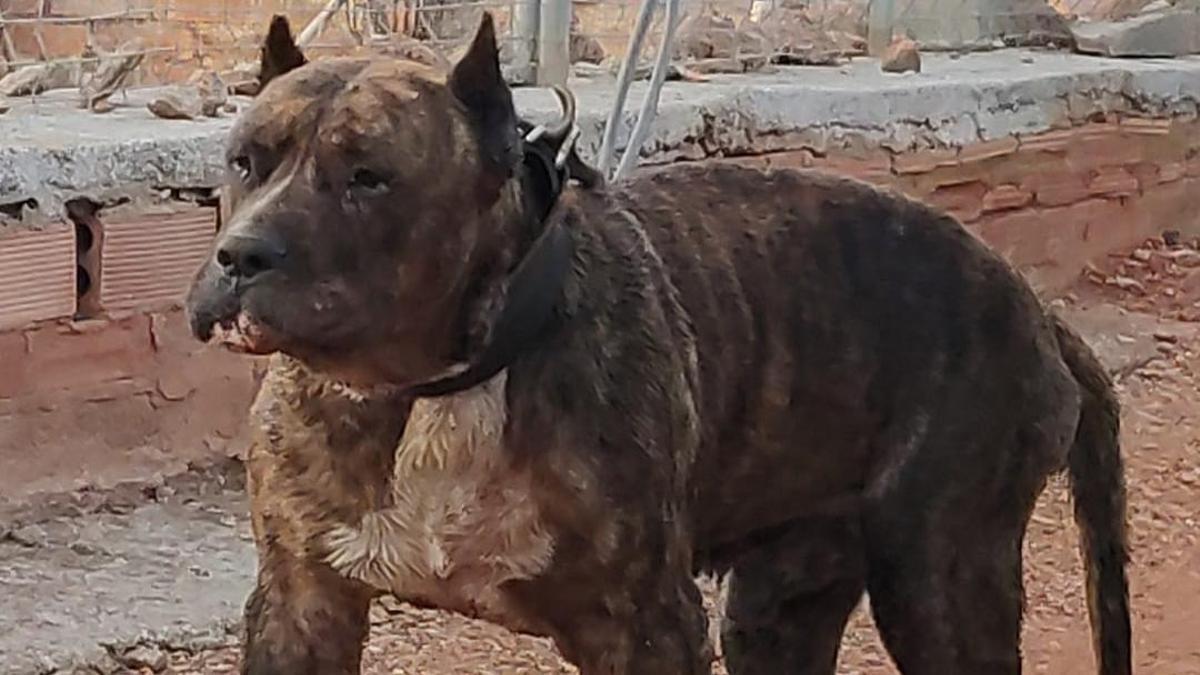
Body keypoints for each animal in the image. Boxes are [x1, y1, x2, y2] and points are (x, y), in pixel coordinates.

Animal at [187, 11, 1132, 672]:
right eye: (243, 161)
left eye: (369, 178)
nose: (241, 256)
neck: (435, 386)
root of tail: (1033, 306)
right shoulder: (302, 604)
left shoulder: (644, 628)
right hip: (780, 605)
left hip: (943, 587)